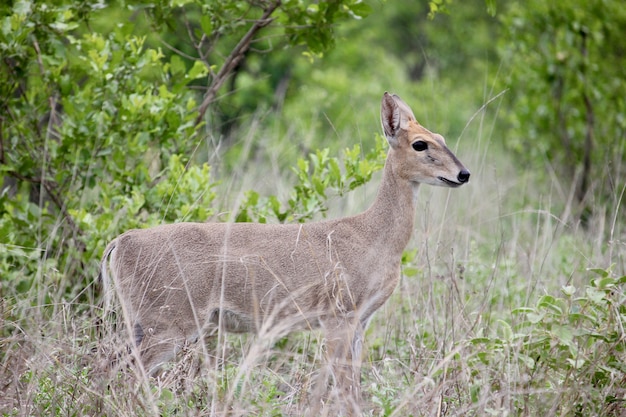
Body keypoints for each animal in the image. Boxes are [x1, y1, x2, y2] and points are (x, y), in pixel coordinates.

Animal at [98, 92, 468, 412]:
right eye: (420, 143)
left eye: (441, 137)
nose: (462, 174)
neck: (375, 237)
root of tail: (120, 242)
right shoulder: (338, 315)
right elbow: (341, 387)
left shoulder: (360, 321)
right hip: (169, 322)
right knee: (124, 373)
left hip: (144, 322)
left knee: (108, 365)